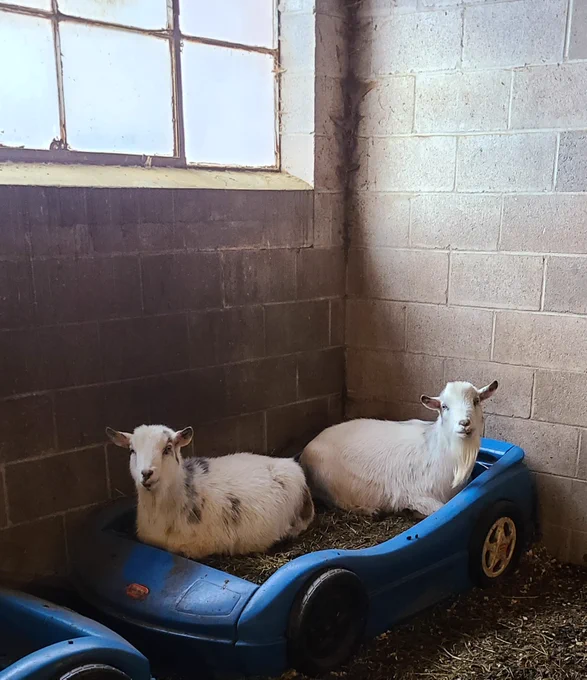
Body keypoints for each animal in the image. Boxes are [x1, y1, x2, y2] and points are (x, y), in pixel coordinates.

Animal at [299, 380, 498, 518]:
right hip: (329, 482)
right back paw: (370, 511)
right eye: (444, 406)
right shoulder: (416, 495)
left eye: (476, 400)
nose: (464, 423)